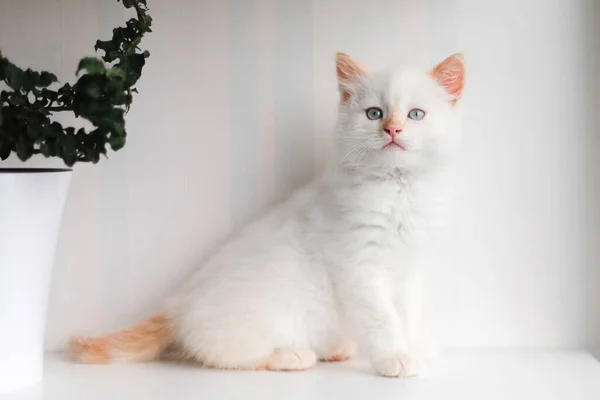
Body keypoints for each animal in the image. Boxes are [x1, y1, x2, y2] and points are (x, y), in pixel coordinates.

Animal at [69, 50, 464, 378]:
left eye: (415, 115)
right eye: (374, 114)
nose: (392, 129)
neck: (398, 188)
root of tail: (178, 304)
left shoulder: (407, 269)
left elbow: (406, 314)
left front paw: (413, 346)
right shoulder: (360, 267)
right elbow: (383, 318)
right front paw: (394, 358)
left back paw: (335, 349)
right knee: (221, 354)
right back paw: (291, 355)